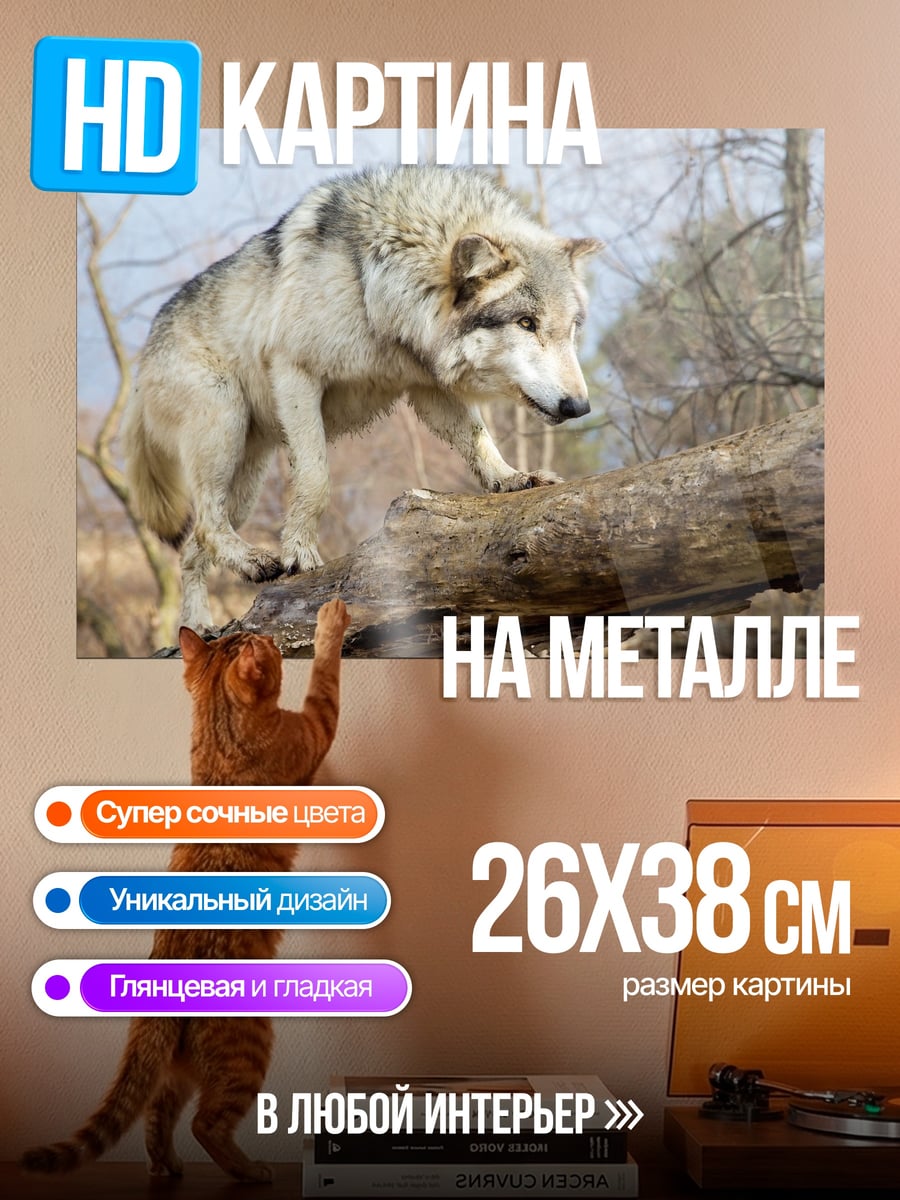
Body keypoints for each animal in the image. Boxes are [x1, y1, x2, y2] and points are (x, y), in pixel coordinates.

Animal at [122, 165, 600, 632]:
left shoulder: (427, 389)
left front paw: (512, 478)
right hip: (224, 425)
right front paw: (299, 553)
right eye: (526, 323)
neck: (376, 285)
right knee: (204, 524)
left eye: (571, 328)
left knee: (192, 548)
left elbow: (479, 439)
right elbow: (315, 479)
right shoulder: (296, 372)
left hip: (246, 479)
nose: (579, 407)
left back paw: (197, 629)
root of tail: (140, 366)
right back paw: (253, 564)